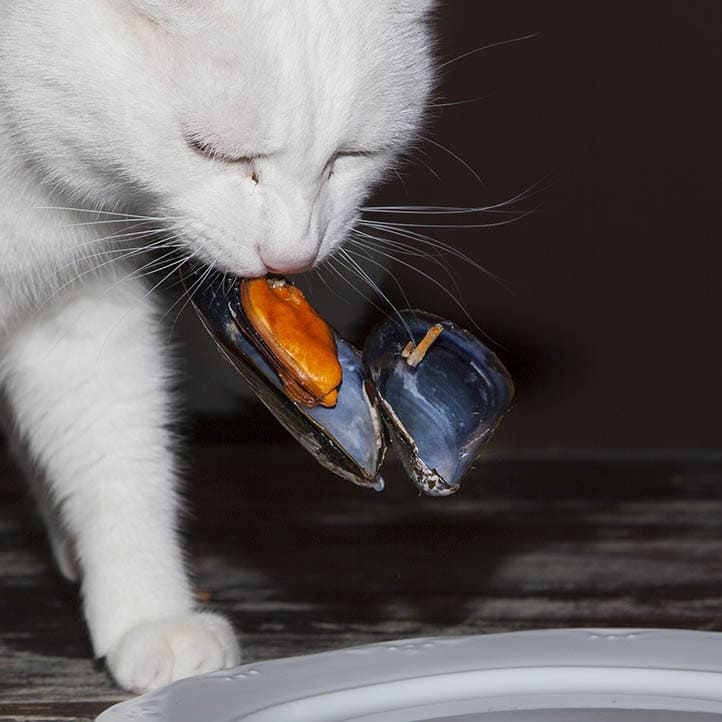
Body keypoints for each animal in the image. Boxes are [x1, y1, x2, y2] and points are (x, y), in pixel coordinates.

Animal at [0, 2, 434, 696]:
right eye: (208, 151)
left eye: (350, 155)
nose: (292, 255)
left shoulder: (79, 311)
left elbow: (119, 460)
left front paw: (149, 613)